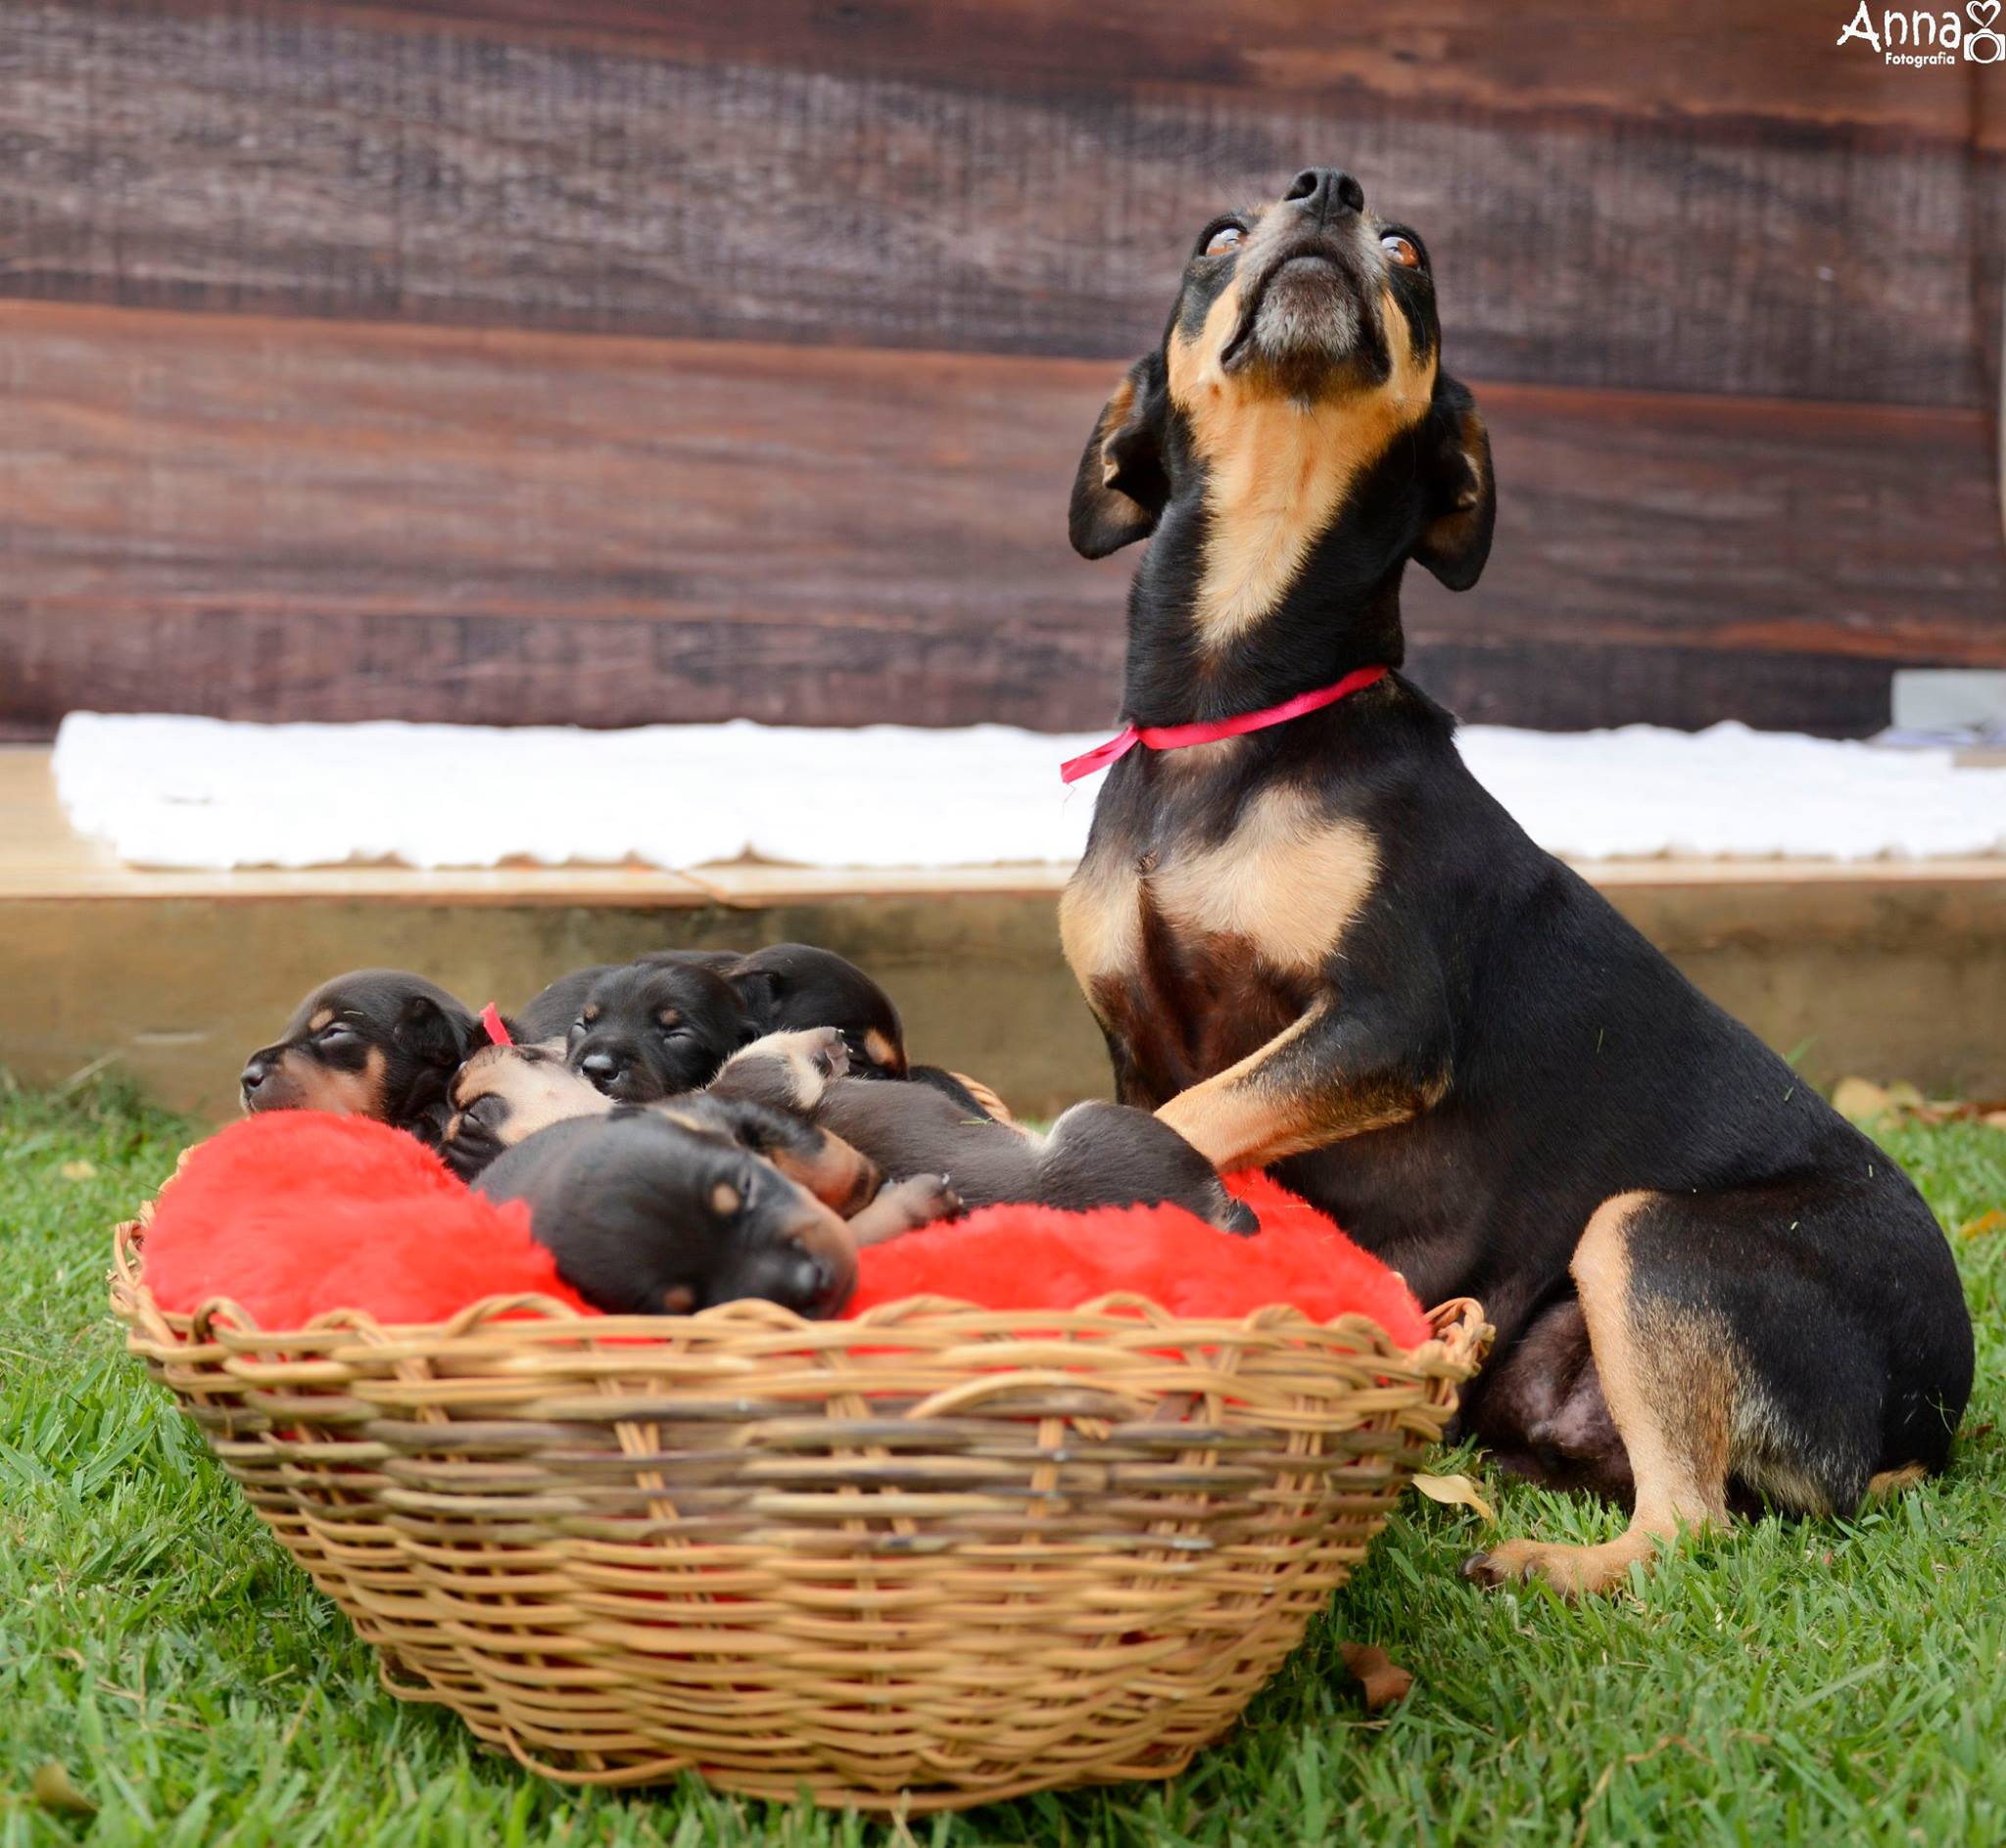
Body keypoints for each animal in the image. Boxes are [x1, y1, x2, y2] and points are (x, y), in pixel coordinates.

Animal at [1067, 166, 1974, 1596]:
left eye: (1409, 251)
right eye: (1214, 238)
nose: (1328, 186)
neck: (1232, 713)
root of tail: (1929, 1424)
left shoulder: (1382, 1019)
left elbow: (1194, 1117)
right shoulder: (1137, 1038)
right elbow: (1172, 1114)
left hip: (1649, 1237)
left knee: (1691, 1528)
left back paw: (1544, 1568)